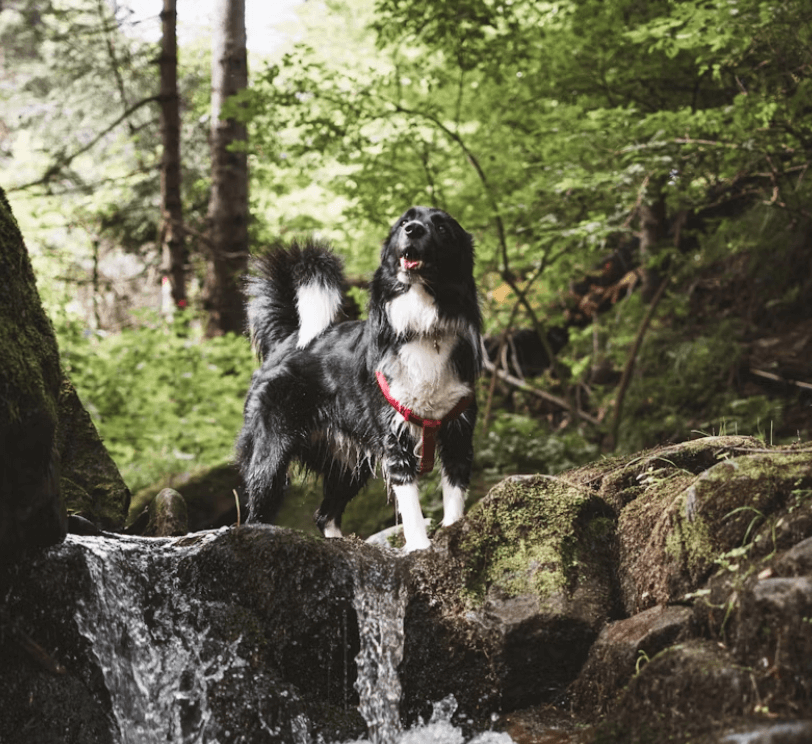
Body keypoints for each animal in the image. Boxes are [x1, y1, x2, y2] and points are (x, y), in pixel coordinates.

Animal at [235, 206, 478, 548]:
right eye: (405, 222)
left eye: (441, 227)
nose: (414, 230)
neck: (422, 328)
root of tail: (287, 339)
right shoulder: (395, 440)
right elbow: (411, 506)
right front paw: (420, 547)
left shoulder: (458, 434)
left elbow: (454, 495)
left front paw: (454, 531)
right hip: (271, 457)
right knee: (257, 514)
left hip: (348, 466)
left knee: (324, 514)